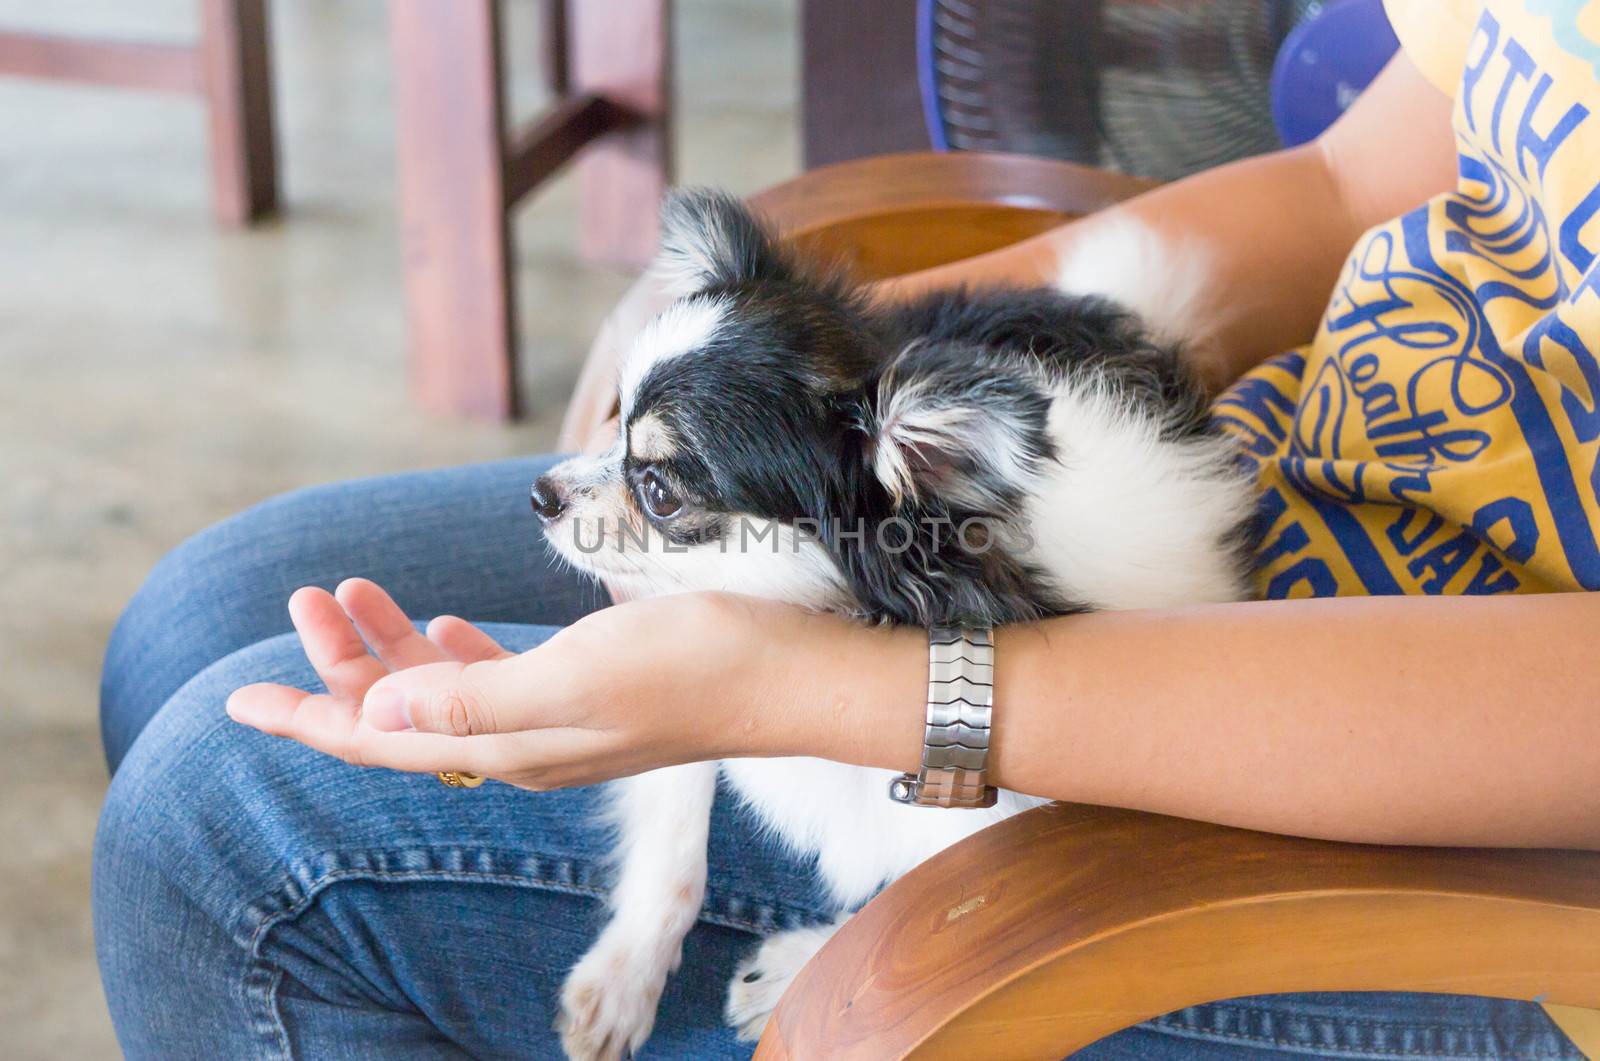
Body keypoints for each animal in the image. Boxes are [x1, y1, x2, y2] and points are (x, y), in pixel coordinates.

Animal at [531, 191, 1254, 1061]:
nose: (542, 493)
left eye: (659, 491)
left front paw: (796, 971)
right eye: (613, 429)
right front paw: (621, 979)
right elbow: (673, 839)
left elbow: (914, 901)